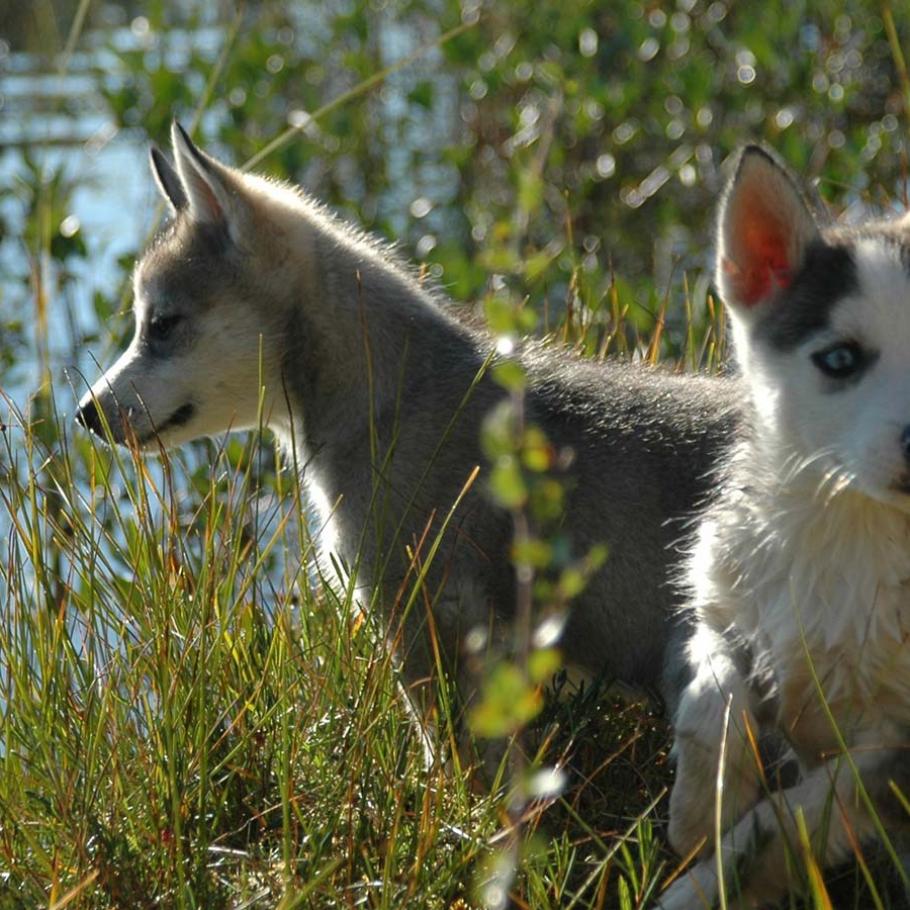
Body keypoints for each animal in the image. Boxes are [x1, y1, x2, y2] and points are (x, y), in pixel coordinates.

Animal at [664, 146, 910, 908]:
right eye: (839, 359)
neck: (851, 526)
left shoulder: (892, 750)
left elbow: (784, 820)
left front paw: (700, 887)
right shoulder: (725, 600)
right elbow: (712, 694)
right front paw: (701, 804)